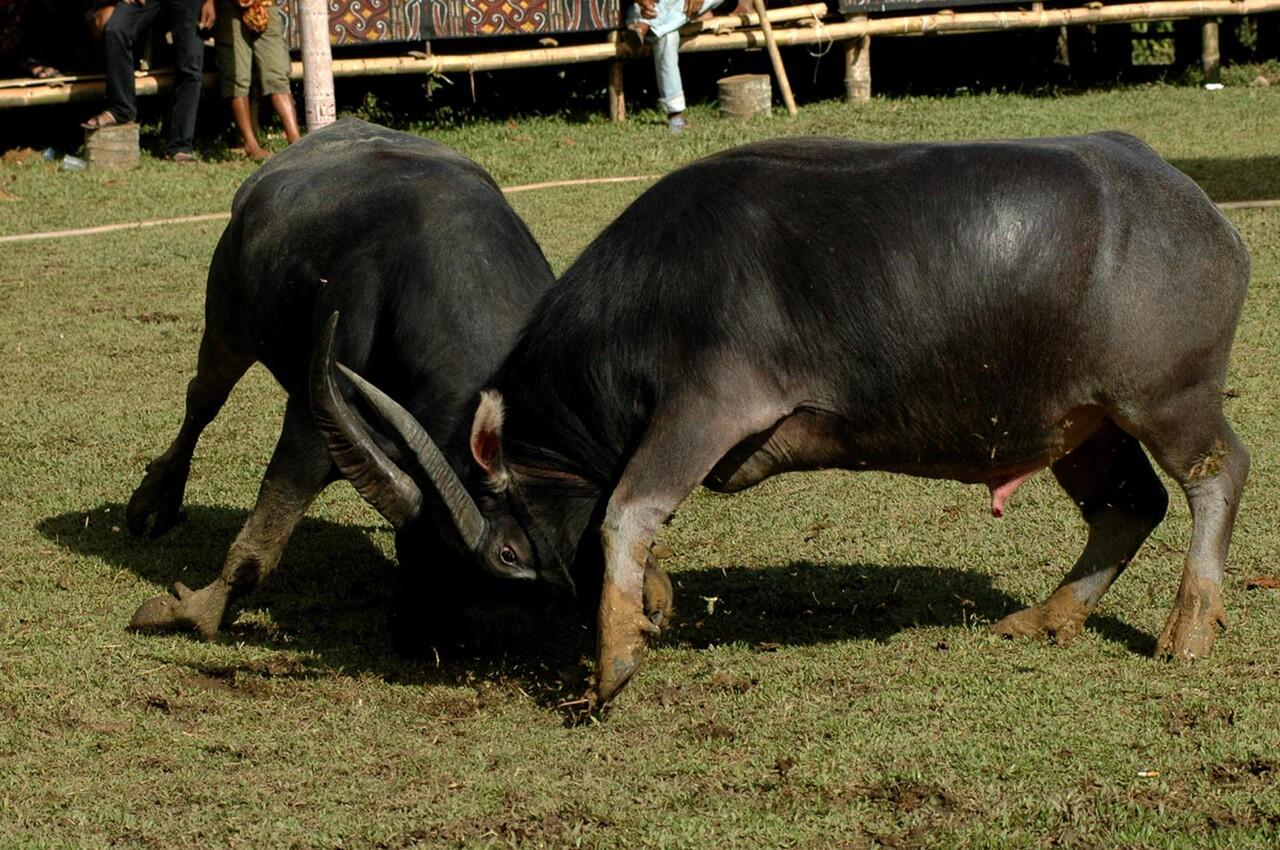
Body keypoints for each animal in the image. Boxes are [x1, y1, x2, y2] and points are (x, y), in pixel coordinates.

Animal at [126, 117, 560, 637]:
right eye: (425, 547)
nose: (415, 625)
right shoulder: (316, 413)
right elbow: (262, 539)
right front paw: (194, 611)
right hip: (226, 322)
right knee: (201, 402)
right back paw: (154, 500)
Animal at [320, 133, 1249, 701]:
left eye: (503, 553)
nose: (426, 641)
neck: (649, 297)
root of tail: (1202, 213)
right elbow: (627, 513)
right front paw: (653, 599)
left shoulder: (709, 405)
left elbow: (627, 507)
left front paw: (613, 659)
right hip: (1080, 420)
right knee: (1129, 505)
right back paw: (1050, 616)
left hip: (1166, 398)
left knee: (1216, 473)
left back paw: (1190, 627)